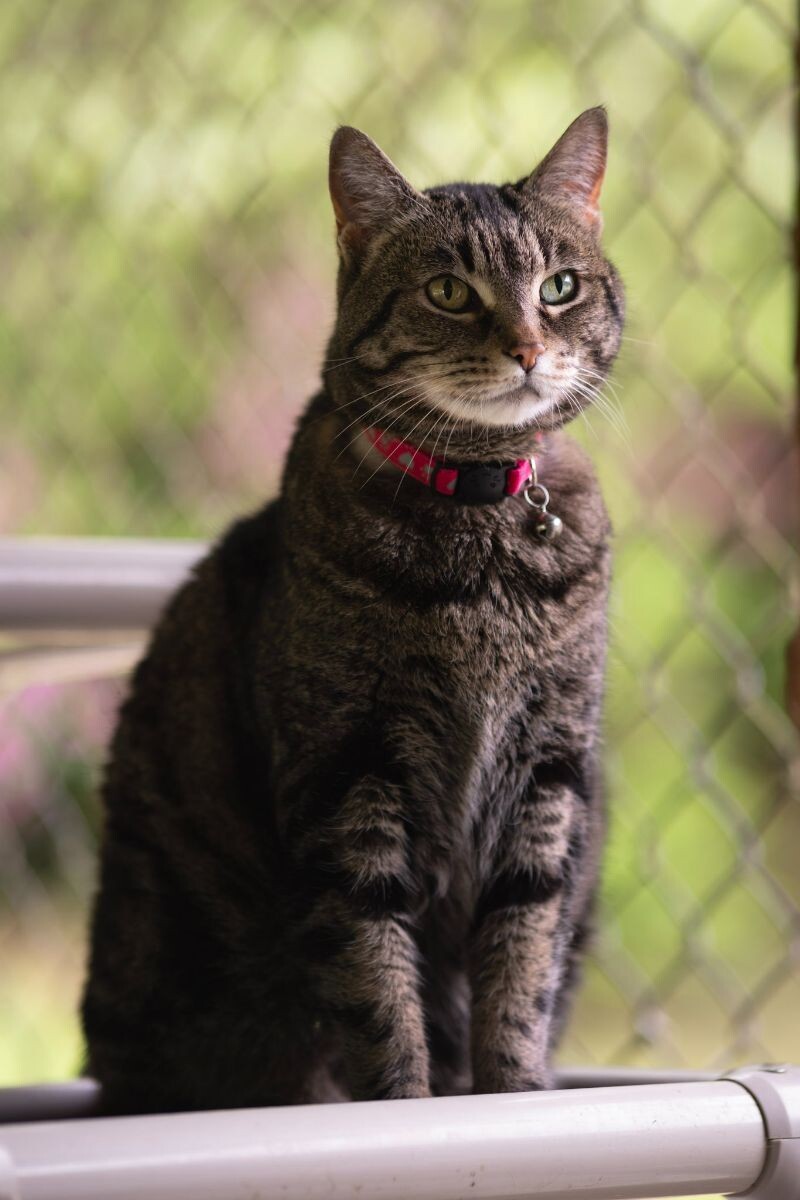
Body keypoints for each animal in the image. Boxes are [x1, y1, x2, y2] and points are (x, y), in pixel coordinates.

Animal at [84, 108, 628, 1108]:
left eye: (560, 287)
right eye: (449, 291)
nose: (530, 348)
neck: (478, 522)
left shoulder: (549, 773)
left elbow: (521, 964)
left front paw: (513, 1100)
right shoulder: (346, 775)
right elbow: (374, 978)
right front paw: (407, 1110)